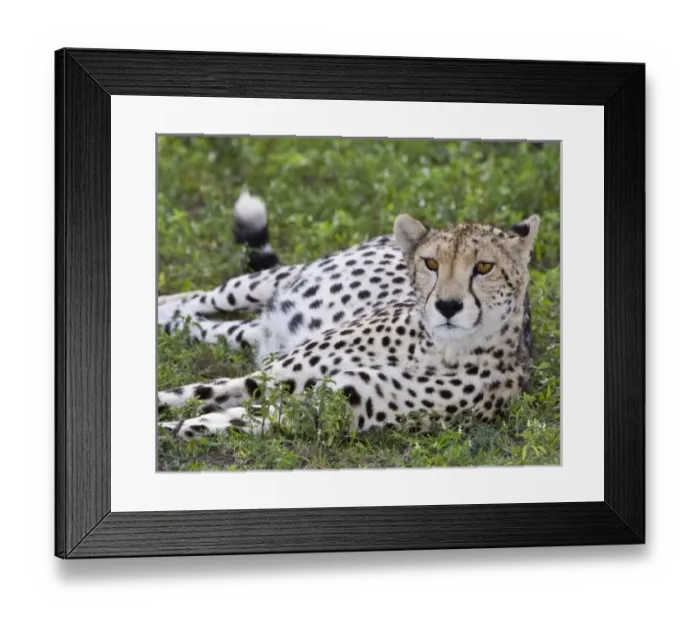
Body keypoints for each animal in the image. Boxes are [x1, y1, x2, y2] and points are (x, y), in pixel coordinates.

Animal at [157, 191, 540, 440]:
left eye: (484, 267)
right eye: (431, 263)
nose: (448, 306)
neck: (436, 348)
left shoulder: (313, 408)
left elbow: (208, 421)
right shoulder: (267, 378)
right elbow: (186, 395)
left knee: (205, 324)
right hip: (265, 283)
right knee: (195, 300)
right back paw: (163, 308)